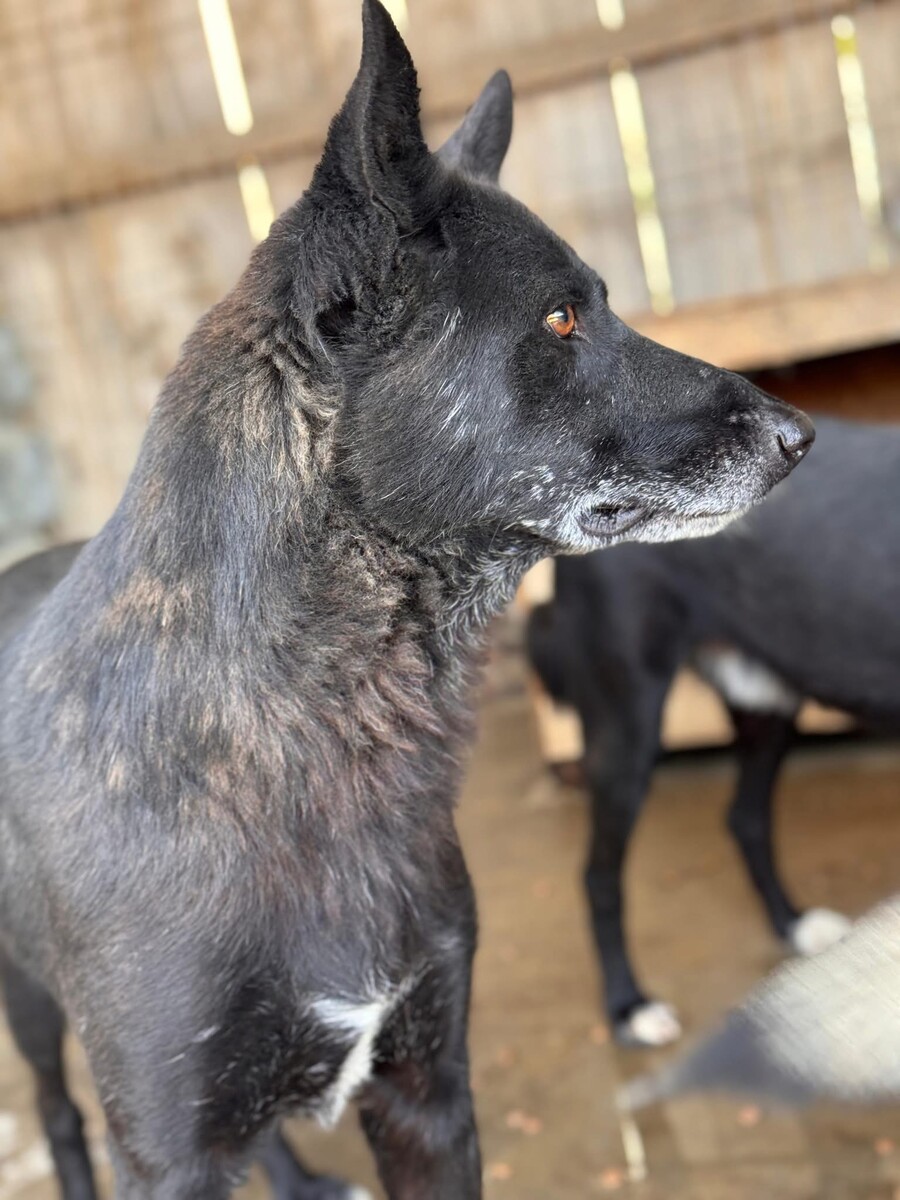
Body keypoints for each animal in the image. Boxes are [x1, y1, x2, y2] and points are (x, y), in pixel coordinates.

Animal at [0, 3, 813, 1196]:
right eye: (561, 320)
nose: (803, 435)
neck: (305, 722)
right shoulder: (165, 1149)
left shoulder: (427, 1091)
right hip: (31, 1009)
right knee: (58, 1114)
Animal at [528, 413, 900, 1049]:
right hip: (628, 724)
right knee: (599, 875)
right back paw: (629, 1006)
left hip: (767, 699)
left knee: (745, 818)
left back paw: (793, 925)